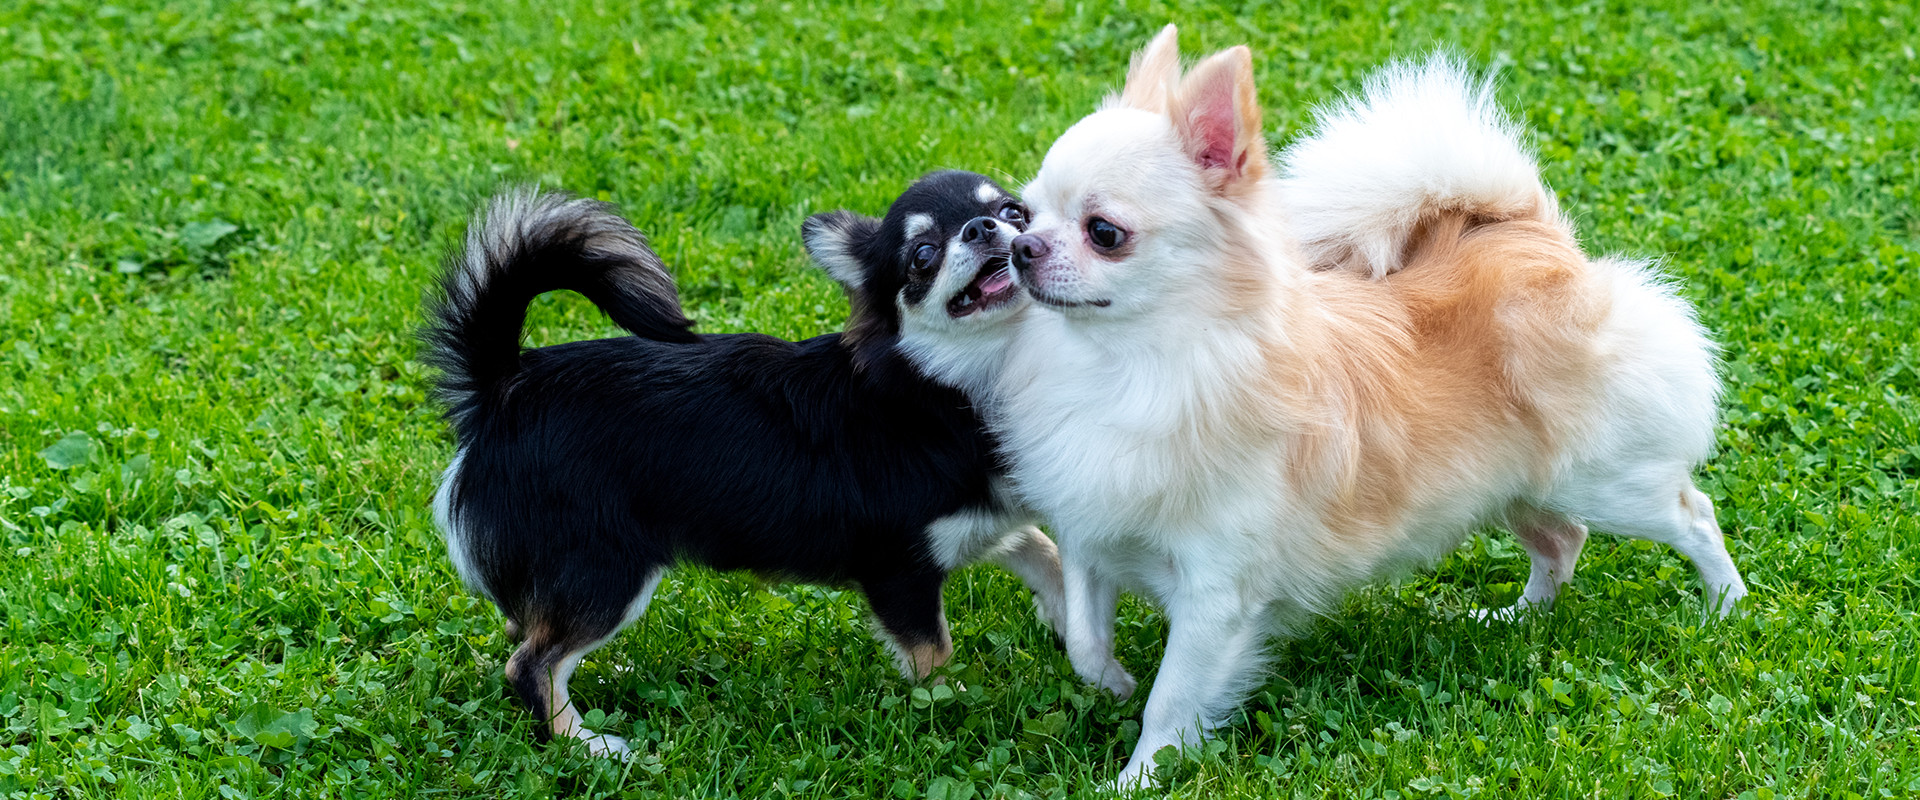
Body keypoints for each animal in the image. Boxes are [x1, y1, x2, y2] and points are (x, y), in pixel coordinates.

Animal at [422, 171, 1067, 752]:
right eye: (923, 255)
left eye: (1012, 211)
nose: (985, 228)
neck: (944, 383)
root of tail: (502, 389)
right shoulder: (901, 571)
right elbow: (936, 659)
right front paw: (953, 716)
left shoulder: (984, 524)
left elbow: (1048, 555)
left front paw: (1072, 629)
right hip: (604, 571)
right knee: (528, 666)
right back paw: (590, 744)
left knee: (524, 629)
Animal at [890, 24, 1751, 786]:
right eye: (1024, 214)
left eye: (1105, 232)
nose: (1020, 246)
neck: (1131, 364)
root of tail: (1527, 232)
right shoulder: (1094, 539)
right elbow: (1082, 637)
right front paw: (1110, 685)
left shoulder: (1215, 593)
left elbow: (1173, 702)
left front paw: (1137, 775)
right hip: (1509, 483)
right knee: (1562, 541)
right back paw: (1518, 618)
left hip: (1601, 478)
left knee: (1691, 514)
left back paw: (1726, 606)